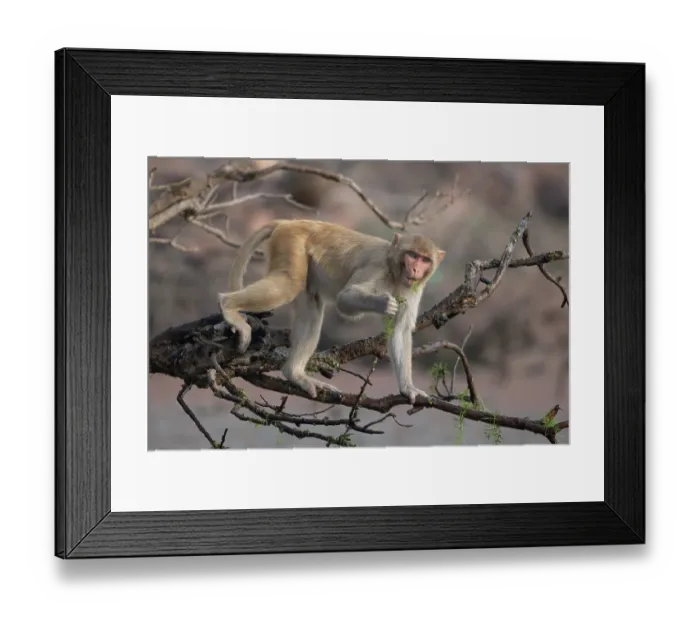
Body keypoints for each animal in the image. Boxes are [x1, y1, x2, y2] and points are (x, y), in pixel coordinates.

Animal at [217, 219, 446, 403]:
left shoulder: (413, 289)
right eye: (412, 255)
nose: (415, 269)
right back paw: (228, 305)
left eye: (425, 259)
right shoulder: (377, 267)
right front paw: (382, 302)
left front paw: (408, 388)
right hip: (291, 244)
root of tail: (287, 222)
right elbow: (344, 299)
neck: (394, 268)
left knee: (311, 307)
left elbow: (400, 330)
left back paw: (294, 374)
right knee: (289, 284)